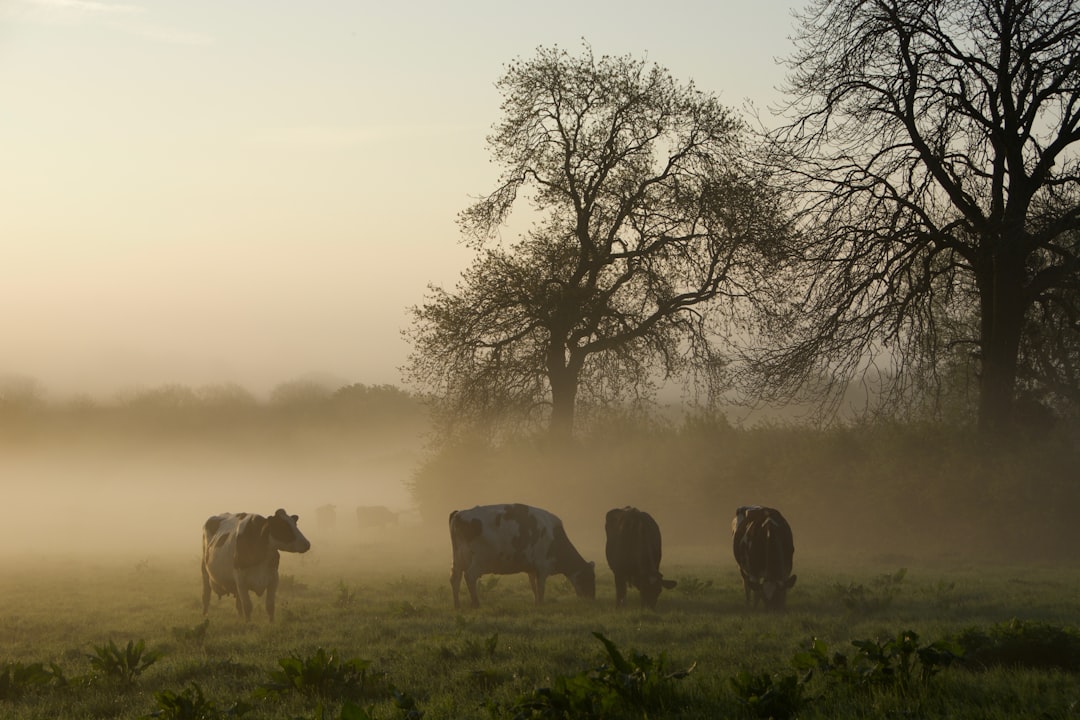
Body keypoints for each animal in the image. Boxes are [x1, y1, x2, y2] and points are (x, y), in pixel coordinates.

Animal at [449, 505, 600, 613]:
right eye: (590, 577)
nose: (592, 599)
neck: (554, 537)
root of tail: (459, 514)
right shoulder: (542, 567)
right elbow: (541, 587)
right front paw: (541, 604)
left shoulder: (532, 569)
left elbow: (533, 586)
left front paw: (536, 603)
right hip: (480, 560)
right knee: (469, 576)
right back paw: (476, 604)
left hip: (458, 559)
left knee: (455, 579)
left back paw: (457, 605)